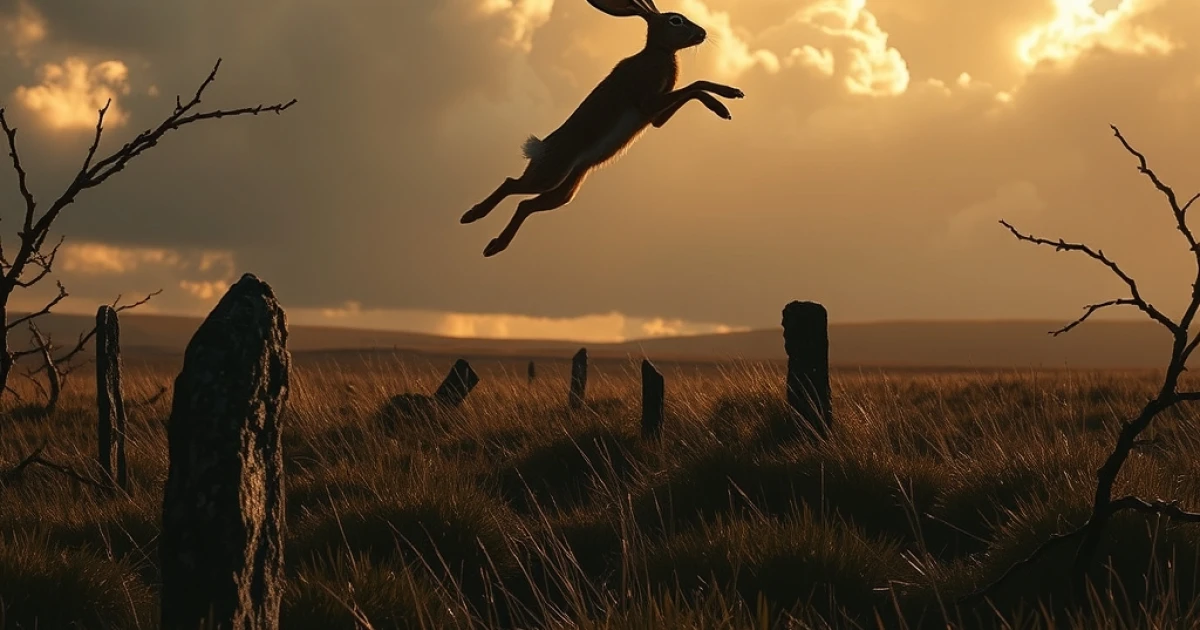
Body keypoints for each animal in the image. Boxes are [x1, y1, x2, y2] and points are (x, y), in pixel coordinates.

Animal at [460, 0, 744, 257]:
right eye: (676, 20)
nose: (702, 33)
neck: (658, 52)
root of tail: (540, 149)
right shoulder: (648, 100)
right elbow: (696, 85)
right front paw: (725, 103)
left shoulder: (654, 115)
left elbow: (690, 92)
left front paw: (728, 100)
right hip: (552, 174)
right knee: (512, 185)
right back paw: (471, 217)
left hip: (566, 188)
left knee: (525, 205)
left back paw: (494, 246)